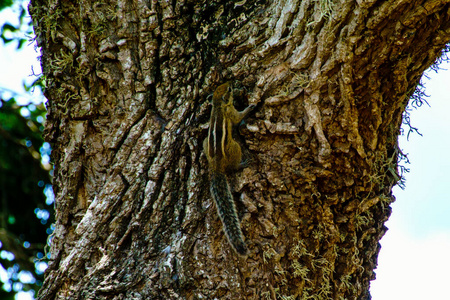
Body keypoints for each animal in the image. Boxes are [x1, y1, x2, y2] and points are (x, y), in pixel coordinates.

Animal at [203, 81, 255, 255]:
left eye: (222, 87)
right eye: (229, 89)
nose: (231, 82)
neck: (219, 105)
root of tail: (215, 166)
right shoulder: (232, 113)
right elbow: (238, 117)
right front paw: (250, 108)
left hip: (205, 143)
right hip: (234, 147)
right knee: (233, 166)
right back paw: (244, 163)